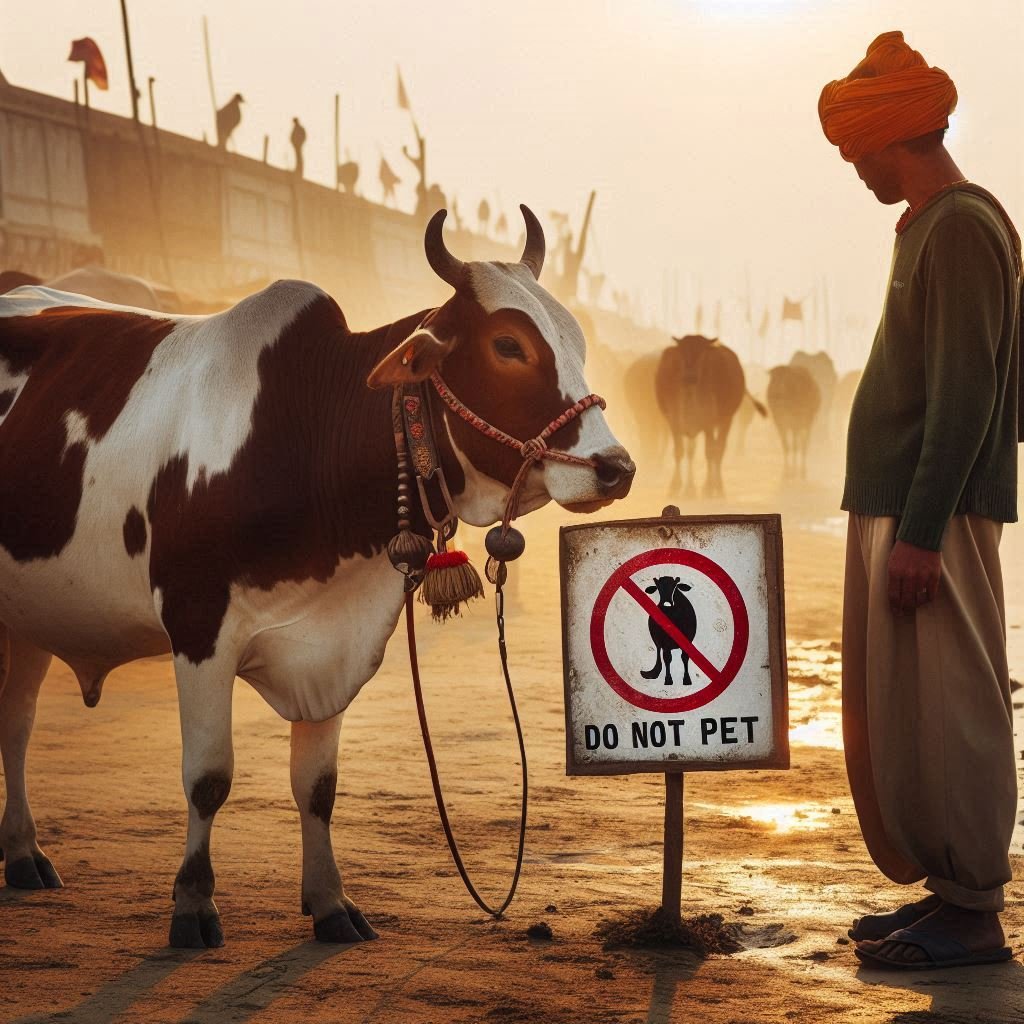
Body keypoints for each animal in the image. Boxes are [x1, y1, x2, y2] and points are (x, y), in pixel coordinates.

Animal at [0, 203, 634, 946]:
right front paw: (192, 903)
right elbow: (208, 777)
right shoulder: (198, 627)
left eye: (577, 341)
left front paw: (331, 902)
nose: (615, 467)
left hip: (33, 613)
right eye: (508, 345)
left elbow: (318, 786)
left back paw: (23, 853)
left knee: (16, 722)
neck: (302, 433)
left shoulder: (335, 639)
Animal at [655, 333, 761, 497]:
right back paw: (691, 488)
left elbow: (710, 452)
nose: (690, 377)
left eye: (702, 354)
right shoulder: (674, 421)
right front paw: (676, 486)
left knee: (718, 450)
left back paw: (717, 487)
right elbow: (680, 451)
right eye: (682, 353)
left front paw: (708, 487)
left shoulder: (708, 423)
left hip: (726, 420)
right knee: (693, 451)